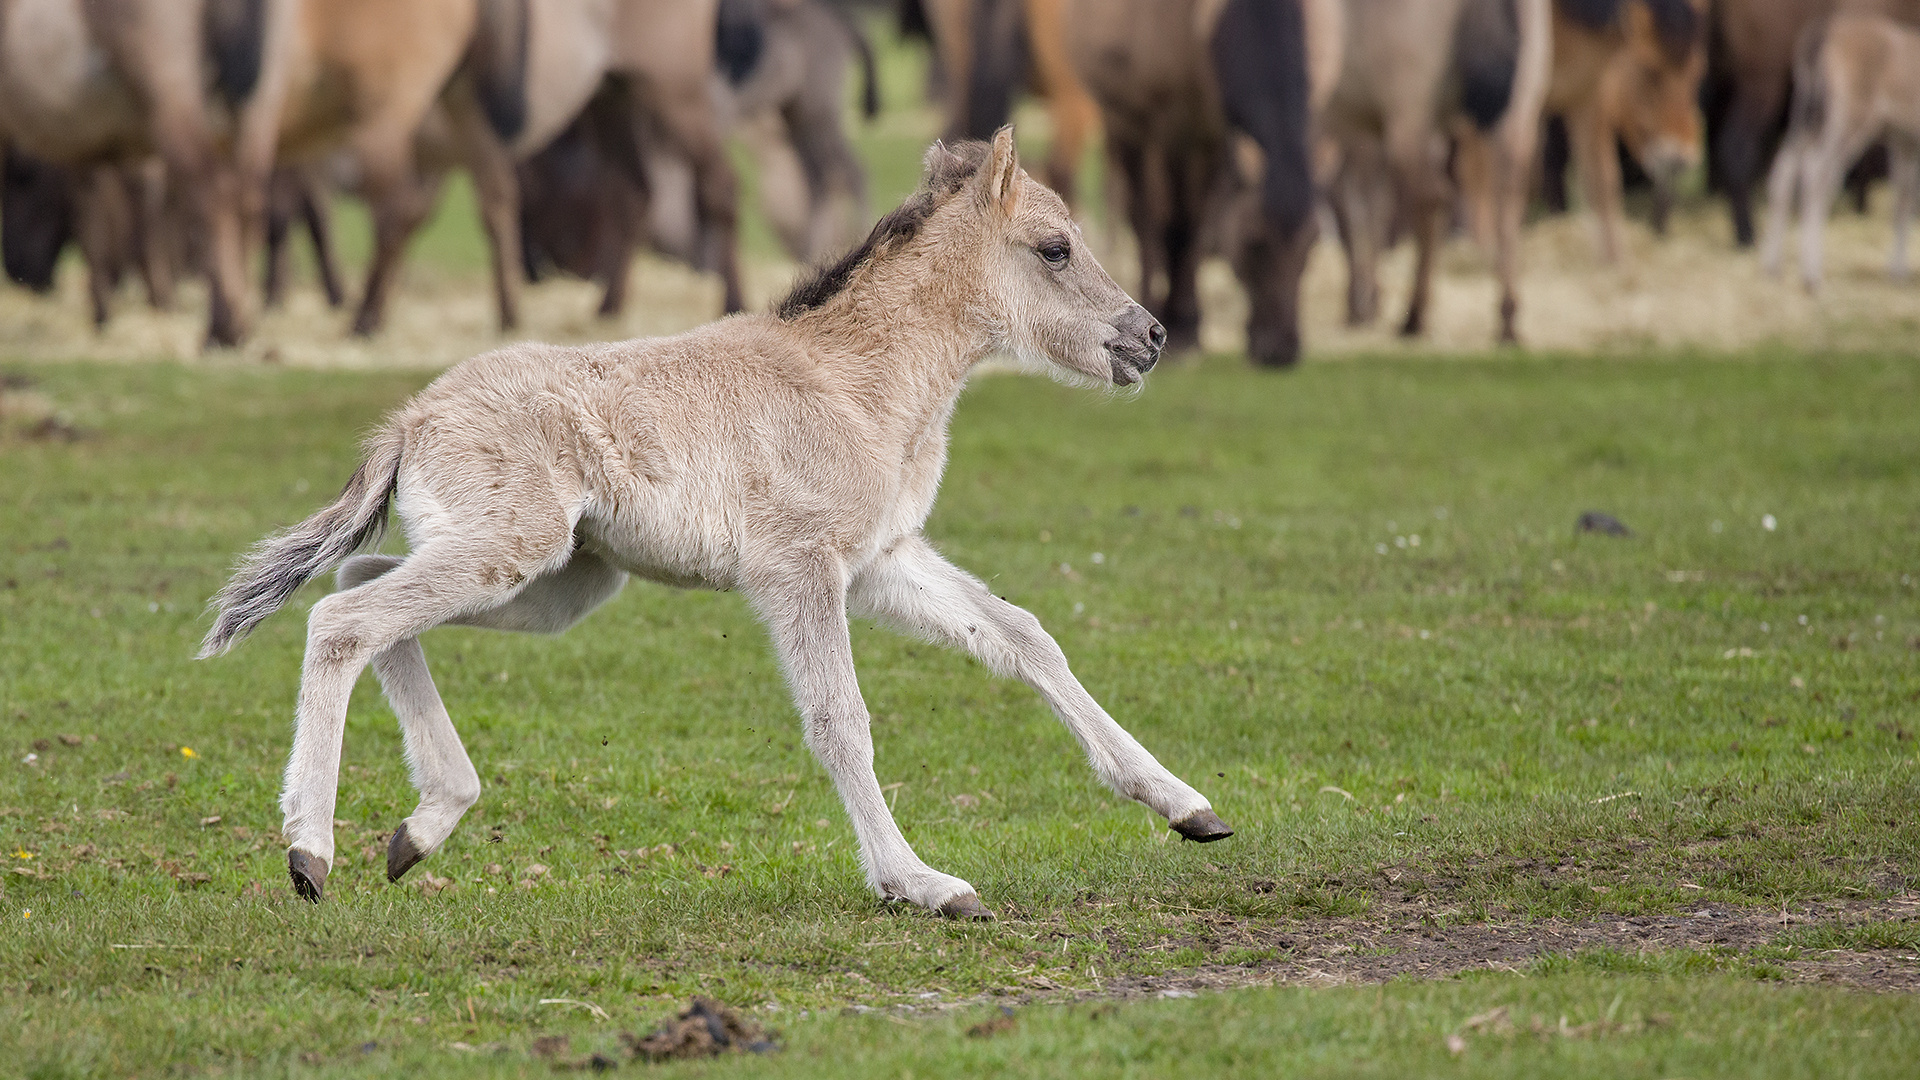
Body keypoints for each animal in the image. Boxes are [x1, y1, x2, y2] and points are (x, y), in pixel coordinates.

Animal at [202, 130, 1221, 910]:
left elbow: (1022, 634)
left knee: (360, 586)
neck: (858, 382)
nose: (1151, 337)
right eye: (1054, 249)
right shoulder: (797, 569)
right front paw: (918, 883)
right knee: (344, 618)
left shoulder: (880, 559)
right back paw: (311, 852)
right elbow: (841, 718)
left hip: (561, 582)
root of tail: (410, 420)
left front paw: (1186, 806)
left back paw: (423, 825)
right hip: (513, 552)